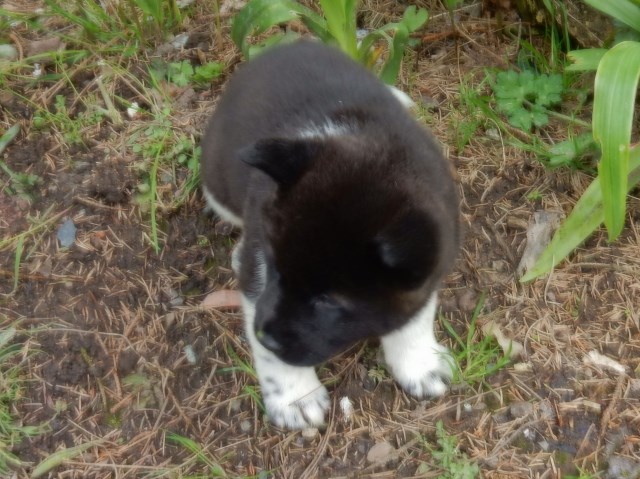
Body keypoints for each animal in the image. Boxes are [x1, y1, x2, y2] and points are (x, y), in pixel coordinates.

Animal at [202, 42, 458, 432]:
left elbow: (415, 316)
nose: (264, 335)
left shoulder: (431, 262)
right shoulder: (259, 274)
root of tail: (282, 47)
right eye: (275, 270)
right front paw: (295, 397)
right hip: (216, 184)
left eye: (328, 301)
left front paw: (420, 363)